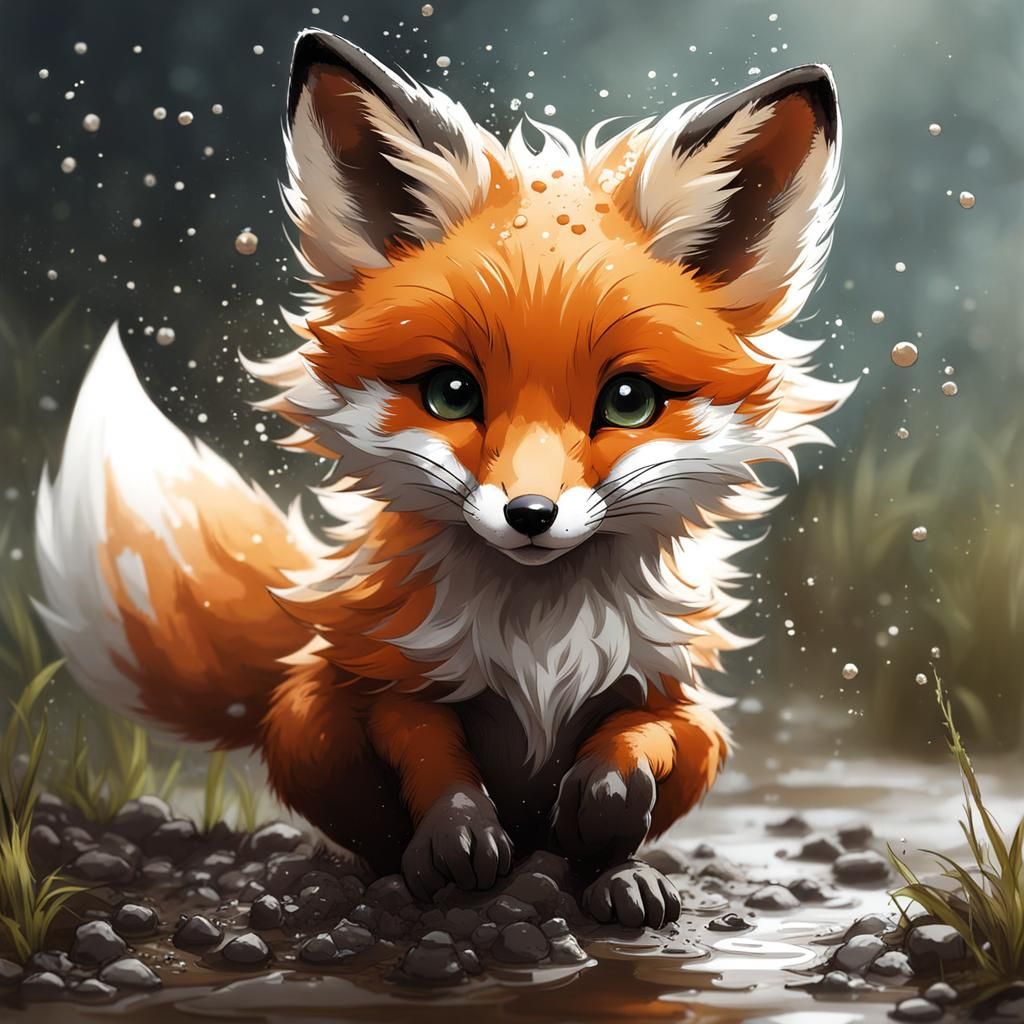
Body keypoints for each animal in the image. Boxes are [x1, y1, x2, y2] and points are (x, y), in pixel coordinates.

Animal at [34, 30, 851, 927]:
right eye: (451, 393)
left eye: (629, 401)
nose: (531, 514)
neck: (537, 639)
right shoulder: (398, 679)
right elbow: (432, 756)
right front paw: (459, 836)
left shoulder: (664, 693)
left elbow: (636, 744)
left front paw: (604, 806)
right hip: (310, 715)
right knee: (375, 836)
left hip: (706, 740)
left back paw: (618, 877)